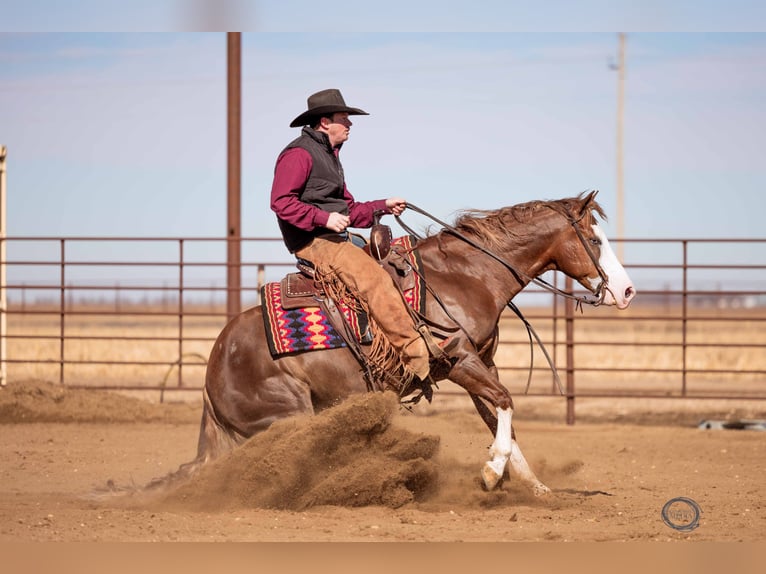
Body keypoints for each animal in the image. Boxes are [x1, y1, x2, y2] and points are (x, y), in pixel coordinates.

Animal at [183, 190, 635, 495]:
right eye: (596, 241)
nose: (628, 291)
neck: (465, 277)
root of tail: (212, 371)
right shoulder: (459, 360)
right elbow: (505, 402)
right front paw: (492, 472)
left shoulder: (482, 361)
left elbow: (499, 416)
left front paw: (534, 486)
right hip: (289, 414)